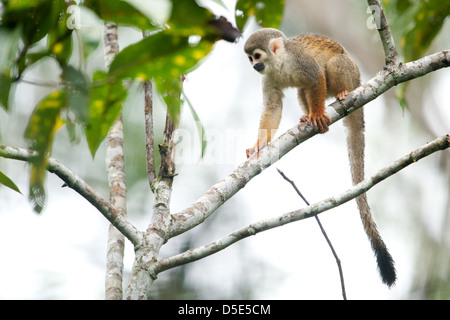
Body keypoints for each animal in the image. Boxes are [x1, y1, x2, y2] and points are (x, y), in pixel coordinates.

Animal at [244, 28, 396, 288]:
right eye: (250, 58)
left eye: (257, 56)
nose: (254, 66)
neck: (279, 63)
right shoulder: (268, 78)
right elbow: (273, 107)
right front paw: (259, 145)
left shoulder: (300, 62)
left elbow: (316, 78)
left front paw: (316, 114)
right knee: (301, 89)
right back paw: (306, 116)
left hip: (353, 74)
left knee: (334, 65)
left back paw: (340, 95)